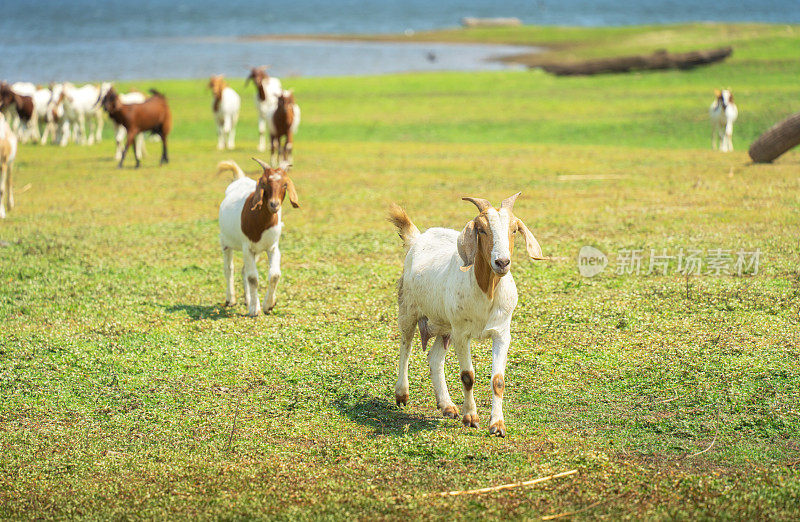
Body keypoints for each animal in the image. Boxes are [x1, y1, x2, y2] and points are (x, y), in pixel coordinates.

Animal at [217, 156, 298, 314]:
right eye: (264, 183)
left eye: (285, 184)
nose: (274, 204)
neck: (261, 222)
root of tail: (239, 179)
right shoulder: (246, 247)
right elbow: (253, 278)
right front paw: (255, 309)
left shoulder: (272, 247)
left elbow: (274, 275)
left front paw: (268, 304)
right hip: (225, 242)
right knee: (229, 268)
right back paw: (231, 299)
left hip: (257, 251)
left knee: (243, 270)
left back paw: (248, 300)